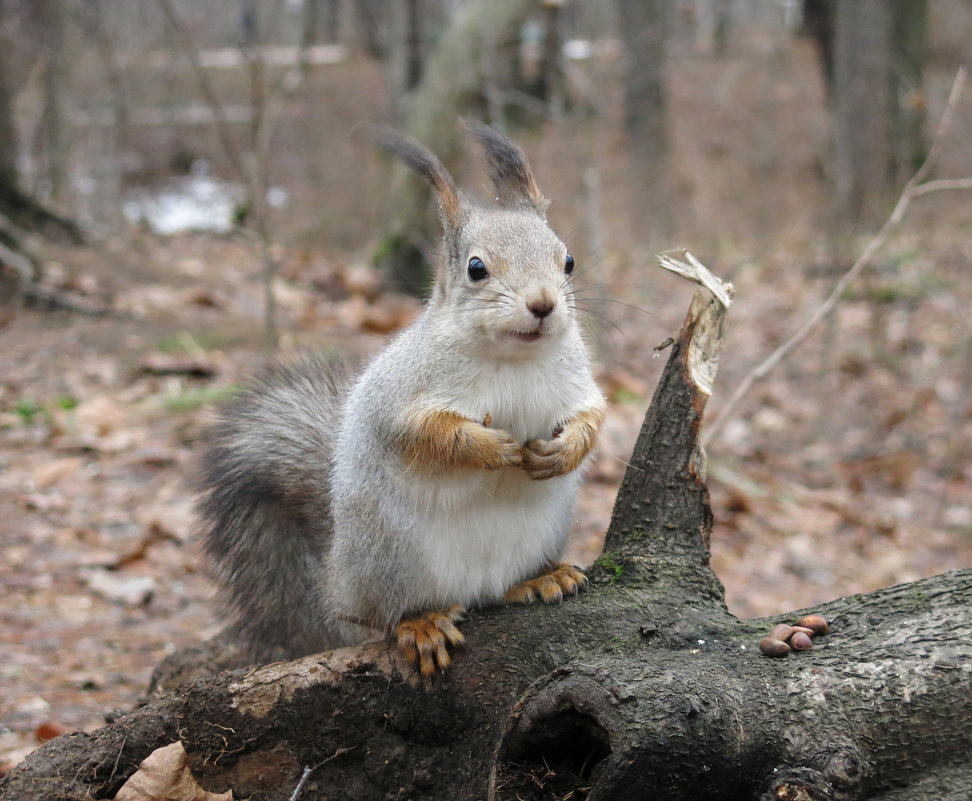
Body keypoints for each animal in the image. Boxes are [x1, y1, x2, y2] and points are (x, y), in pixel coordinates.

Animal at [196, 122, 604, 680]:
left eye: (568, 260)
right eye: (476, 268)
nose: (542, 304)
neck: (514, 358)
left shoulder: (578, 381)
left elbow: (593, 417)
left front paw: (562, 452)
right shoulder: (401, 395)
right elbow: (426, 433)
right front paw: (490, 448)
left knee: (500, 591)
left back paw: (540, 579)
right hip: (390, 559)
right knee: (377, 617)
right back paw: (421, 622)